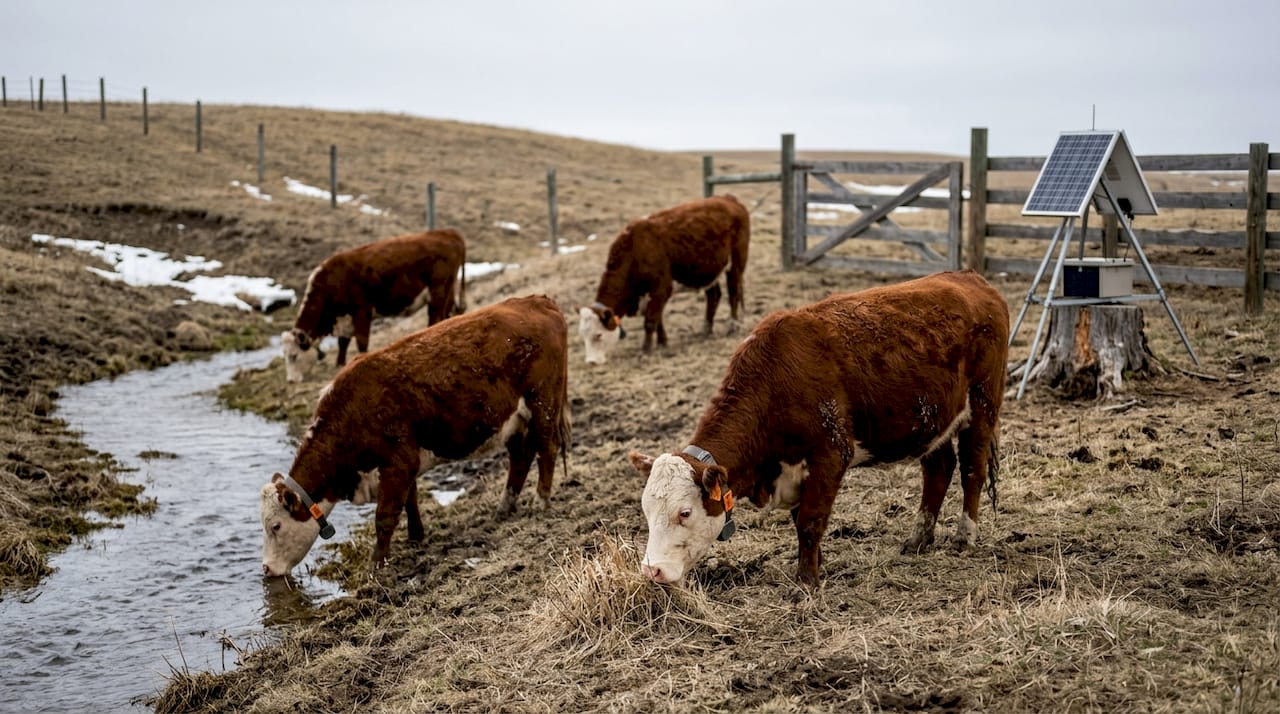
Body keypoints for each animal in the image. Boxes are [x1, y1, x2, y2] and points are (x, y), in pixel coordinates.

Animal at [260, 294, 570, 577]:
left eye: (275, 525)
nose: (266, 568)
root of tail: (537, 301)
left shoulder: (397, 462)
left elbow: (385, 516)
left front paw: (377, 564)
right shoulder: (404, 464)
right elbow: (411, 500)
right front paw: (416, 536)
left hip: (543, 403)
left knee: (547, 448)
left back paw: (541, 500)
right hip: (514, 419)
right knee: (521, 457)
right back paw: (505, 506)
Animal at [282, 229, 467, 382]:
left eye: (294, 356)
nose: (291, 380)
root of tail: (448, 232)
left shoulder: (362, 311)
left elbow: (361, 342)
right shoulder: (345, 319)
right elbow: (343, 343)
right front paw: (340, 364)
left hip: (438, 292)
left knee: (435, 318)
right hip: (449, 290)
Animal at [579, 194, 749, 364]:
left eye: (598, 335)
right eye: (583, 336)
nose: (591, 361)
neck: (634, 250)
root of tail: (728, 199)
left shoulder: (660, 289)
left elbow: (650, 321)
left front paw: (646, 349)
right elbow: (658, 319)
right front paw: (662, 342)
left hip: (736, 263)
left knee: (733, 293)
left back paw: (733, 326)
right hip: (709, 271)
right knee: (713, 296)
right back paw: (706, 329)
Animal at [631, 270, 1009, 586]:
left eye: (685, 512)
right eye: (646, 510)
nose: (652, 570)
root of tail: (972, 279)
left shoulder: (830, 453)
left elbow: (810, 520)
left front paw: (806, 581)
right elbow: (801, 517)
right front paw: (815, 565)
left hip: (982, 406)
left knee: (972, 471)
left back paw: (964, 536)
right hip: (933, 421)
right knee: (938, 470)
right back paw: (919, 539)